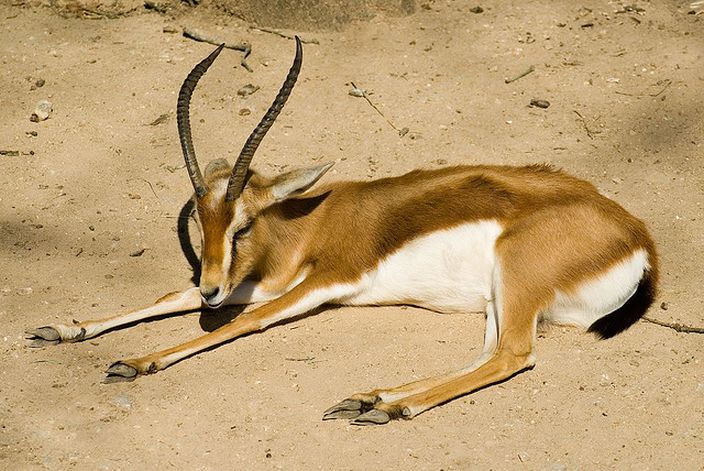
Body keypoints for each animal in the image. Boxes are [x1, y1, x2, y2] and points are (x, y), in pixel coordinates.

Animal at [27, 37, 658, 425]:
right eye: (203, 220)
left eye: (243, 223)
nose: (210, 288)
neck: (304, 225)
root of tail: (636, 236)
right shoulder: (248, 280)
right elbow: (167, 297)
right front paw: (64, 329)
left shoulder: (323, 280)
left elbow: (247, 322)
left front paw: (136, 362)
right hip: (494, 301)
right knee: (487, 354)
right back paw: (370, 398)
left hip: (514, 279)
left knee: (513, 357)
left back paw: (387, 409)